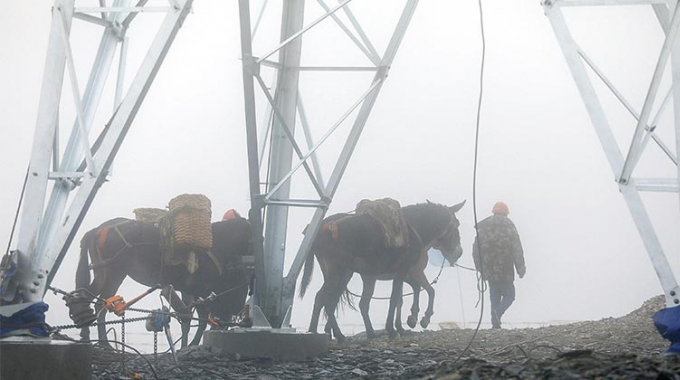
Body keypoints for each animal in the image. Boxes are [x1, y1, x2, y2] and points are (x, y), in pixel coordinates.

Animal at [300, 202, 464, 342]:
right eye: (457, 225)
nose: (459, 253)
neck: (413, 229)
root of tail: (320, 230)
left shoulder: (401, 273)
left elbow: (407, 295)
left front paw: (409, 321)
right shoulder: (405, 271)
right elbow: (402, 297)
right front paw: (399, 327)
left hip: (343, 274)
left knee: (329, 299)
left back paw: (334, 333)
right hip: (338, 272)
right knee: (325, 298)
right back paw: (326, 333)